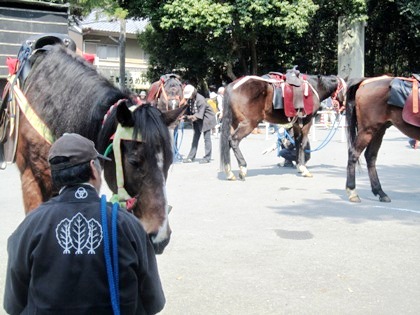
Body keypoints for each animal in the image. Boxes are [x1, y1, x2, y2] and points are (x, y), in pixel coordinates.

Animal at [344, 75, 420, 204]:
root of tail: (365, 81)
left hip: (379, 130)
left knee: (370, 156)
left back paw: (380, 191)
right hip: (368, 129)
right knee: (353, 154)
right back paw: (352, 191)